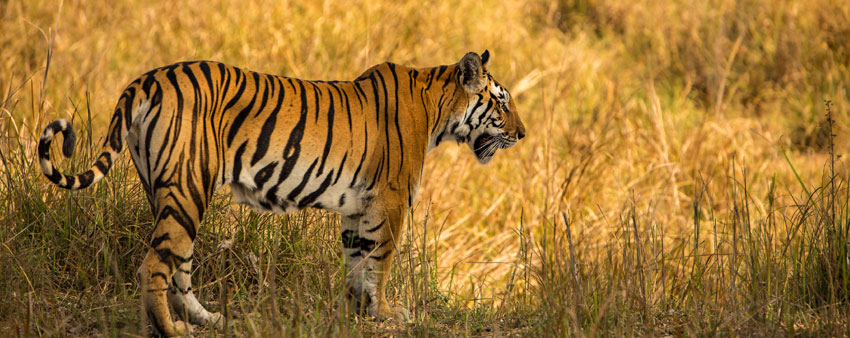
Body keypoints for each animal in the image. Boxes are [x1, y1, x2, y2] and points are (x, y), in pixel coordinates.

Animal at [39, 50, 524, 336]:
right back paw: (174, 331)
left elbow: (356, 261)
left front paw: (357, 310)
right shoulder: (389, 200)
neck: (438, 107)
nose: (522, 133)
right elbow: (380, 262)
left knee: (179, 267)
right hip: (188, 188)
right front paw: (385, 312)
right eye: (501, 101)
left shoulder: (359, 206)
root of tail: (150, 78)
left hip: (169, 194)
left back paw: (208, 319)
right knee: (155, 267)